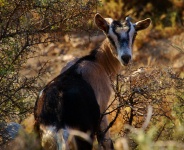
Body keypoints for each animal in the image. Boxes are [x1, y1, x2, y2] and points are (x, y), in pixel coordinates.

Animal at [33, 13, 151, 149]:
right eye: (110, 36)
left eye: (134, 34)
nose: (125, 57)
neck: (97, 62)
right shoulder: (103, 112)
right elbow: (107, 142)